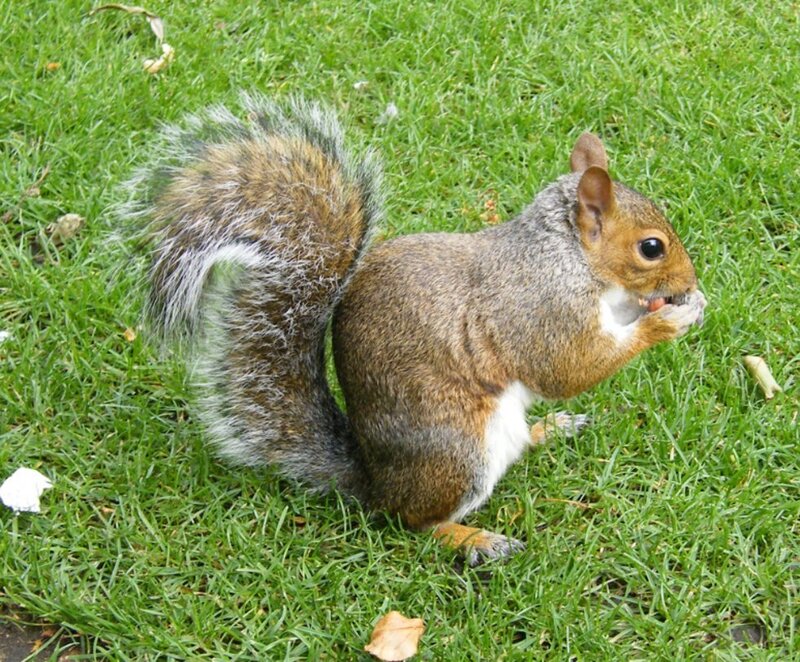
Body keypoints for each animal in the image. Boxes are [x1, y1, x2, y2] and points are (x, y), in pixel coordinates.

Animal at [124, 94, 706, 564]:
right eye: (651, 247)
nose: (689, 281)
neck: (570, 257)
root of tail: (373, 480)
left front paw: (684, 305)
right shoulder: (540, 308)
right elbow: (568, 369)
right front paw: (667, 320)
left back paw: (550, 429)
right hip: (457, 451)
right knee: (413, 522)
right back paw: (474, 540)